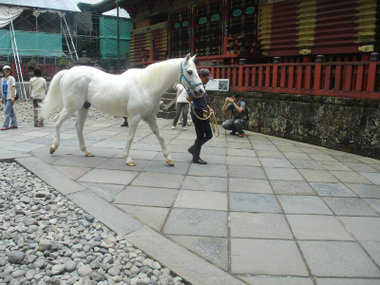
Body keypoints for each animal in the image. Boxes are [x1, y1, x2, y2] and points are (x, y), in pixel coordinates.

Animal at [39, 53, 205, 165]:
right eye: (190, 71)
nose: (200, 91)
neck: (147, 85)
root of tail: (68, 72)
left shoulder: (150, 117)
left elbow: (161, 136)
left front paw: (169, 159)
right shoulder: (135, 117)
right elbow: (130, 137)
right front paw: (128, 158)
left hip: (83, 107)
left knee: (78, 127)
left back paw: (86, 151)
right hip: (71, 106)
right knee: (57, 121)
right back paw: (53, 147)